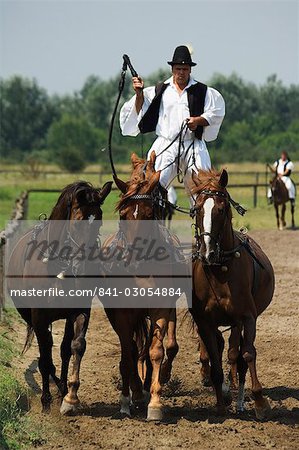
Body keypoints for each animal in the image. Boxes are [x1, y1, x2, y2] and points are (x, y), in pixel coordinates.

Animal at [7, 181, 112, 414]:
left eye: (99, 220)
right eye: (78, 222)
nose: (85, 268)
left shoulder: (79, 311)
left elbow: (76, 346)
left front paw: (70, 398)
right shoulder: (39, 317)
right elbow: (45, 356)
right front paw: (46, 400)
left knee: (63, 349)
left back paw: (62, 387)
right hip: (31, 317)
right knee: (46, 349)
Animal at [103, 153, 182, 420]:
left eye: (150, 214)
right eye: (123, 214)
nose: (133, 260)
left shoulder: (160, 308)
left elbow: (155, 351)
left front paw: (155, 402)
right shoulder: (121, 314)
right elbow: (128, 353)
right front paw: (129, 398)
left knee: (150, 348)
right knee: (132, 350)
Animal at [191, 168, 276, 418]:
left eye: (221, 209)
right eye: (197, 208)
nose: (207, 252)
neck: (220, 270)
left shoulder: (246, 317)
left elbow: (246, 355)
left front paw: (260, 402)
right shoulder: (205, 322)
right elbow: (216, 362)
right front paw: (220, 405)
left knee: (238, 354)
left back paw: (240, 399)